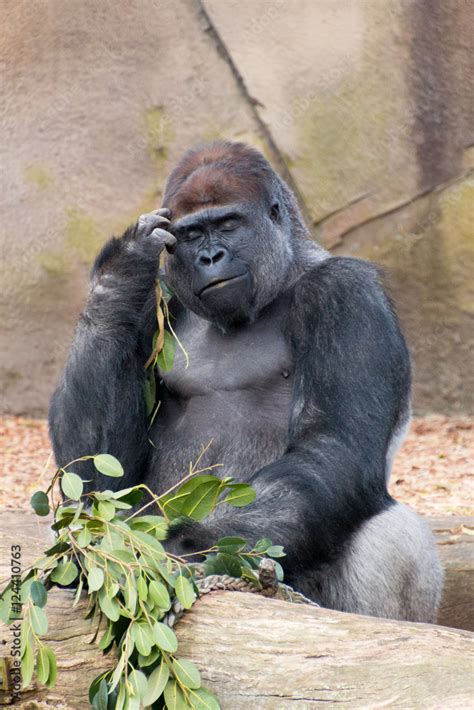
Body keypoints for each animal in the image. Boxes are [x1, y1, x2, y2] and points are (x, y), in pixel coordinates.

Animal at [47, 140, 440, 624]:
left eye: (228, 224)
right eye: (193, 234)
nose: (209, 258)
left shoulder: (347, 293)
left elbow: (334, 443)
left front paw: (187, 545)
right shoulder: (159, 298)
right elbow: (100, 474)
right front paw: (122, 273)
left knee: (392, 535)